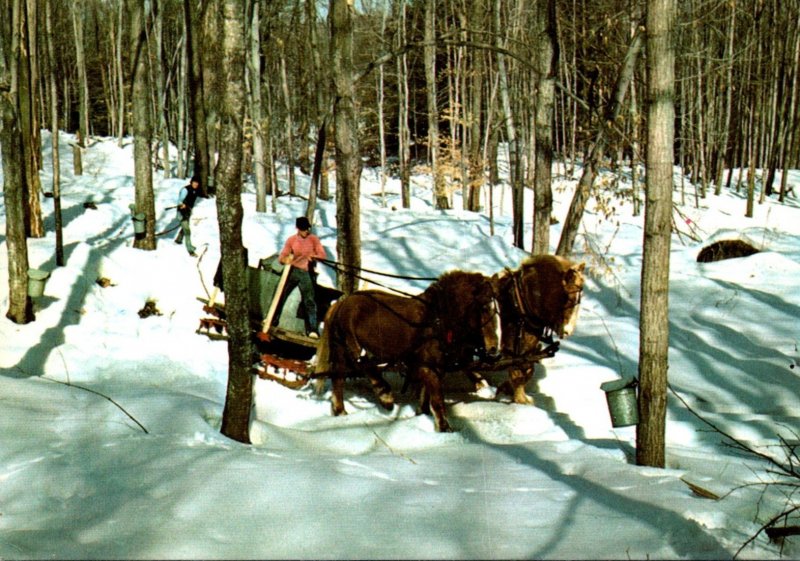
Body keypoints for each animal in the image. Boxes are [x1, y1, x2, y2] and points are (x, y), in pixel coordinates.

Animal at [312, 272, 500, 434]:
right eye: (484, 307)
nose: (494, 349)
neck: (437, 319)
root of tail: (341, 303)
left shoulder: (433, 368)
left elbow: (425, 398)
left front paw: (422, 416)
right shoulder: (427, 367)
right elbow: (437, 400)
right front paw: (445, 429)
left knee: (339, 377)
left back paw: (342, 411)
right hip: (350, 345)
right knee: (360, 365)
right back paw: (384, 396)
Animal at [468, 256, 588, 404]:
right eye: (569, 299)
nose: (567, 331)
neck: (521, 303)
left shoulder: (528, 350)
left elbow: (527, 371)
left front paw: (506, 390)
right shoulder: (513, 350)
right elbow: (517, 373)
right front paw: (520, 400)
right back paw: (481, 384)